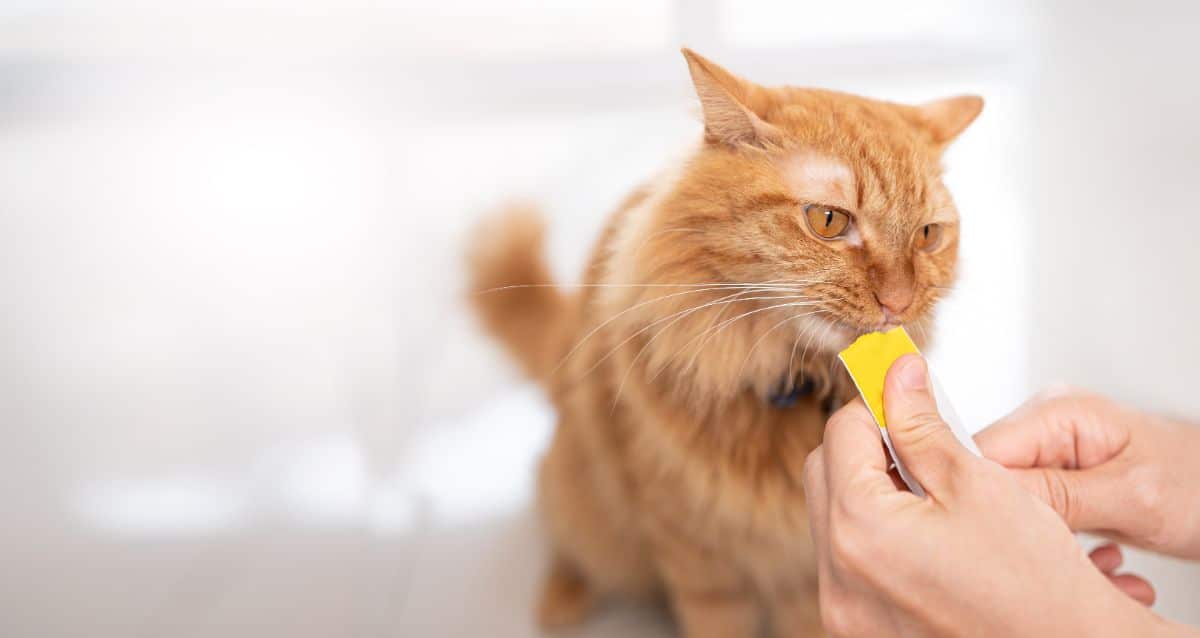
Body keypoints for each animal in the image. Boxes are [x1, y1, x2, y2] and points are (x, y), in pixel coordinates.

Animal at [463, 47, 979, 633]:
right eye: (828, 220)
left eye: (927, 236)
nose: (898, 301)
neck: (785, 385)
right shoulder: (697, 560)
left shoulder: (803, 574)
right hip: (581, 498)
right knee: (571, 543)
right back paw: (560, 599)